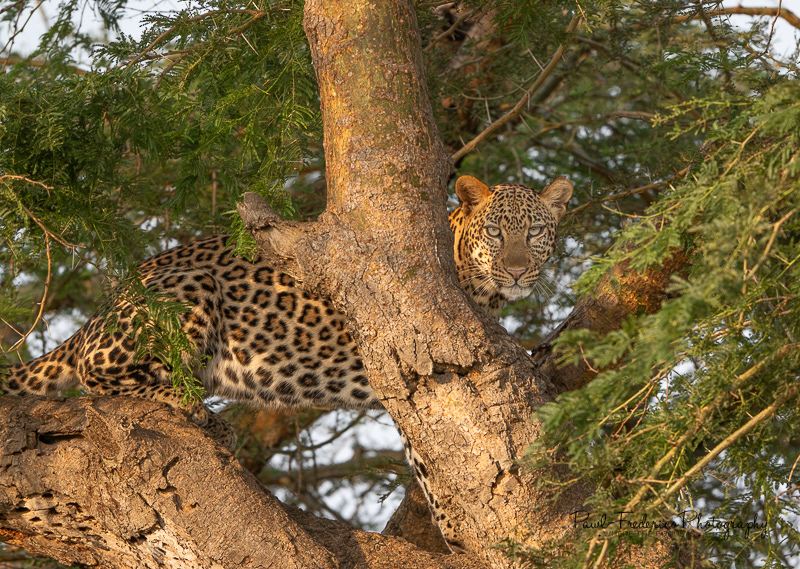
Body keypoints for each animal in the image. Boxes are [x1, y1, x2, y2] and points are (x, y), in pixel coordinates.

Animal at [1, 174, 573, 553]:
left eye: (535, 233)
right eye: (496, 232)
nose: (517, 271)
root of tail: (101, 308)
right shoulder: (408, 366)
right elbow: (427, 455)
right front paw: (455, 531)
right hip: (185, 294)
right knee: (99, 374)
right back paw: (190, 406)